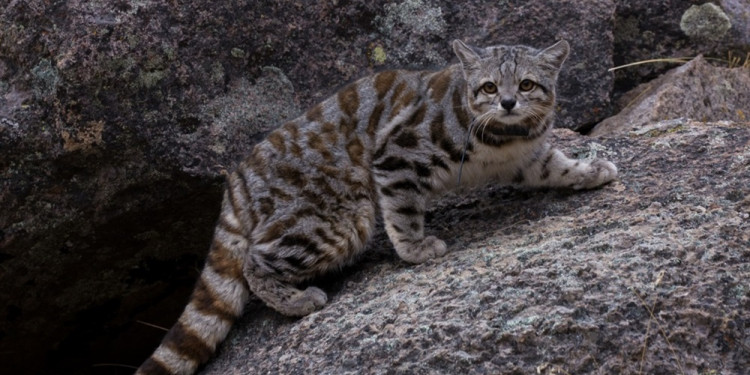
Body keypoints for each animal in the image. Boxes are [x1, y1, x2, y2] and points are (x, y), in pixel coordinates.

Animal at [135, 39, 616, 374]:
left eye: (528, 84)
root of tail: (236, 182)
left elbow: (558, 166)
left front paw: (590, 169)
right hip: (337, 219)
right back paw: (297, 299)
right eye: (489, 86)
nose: (509, 102)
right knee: (255, 261)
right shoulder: (396, 155)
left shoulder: (528, 160)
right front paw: (416, 249)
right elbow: (402, 211)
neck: (503, 137)